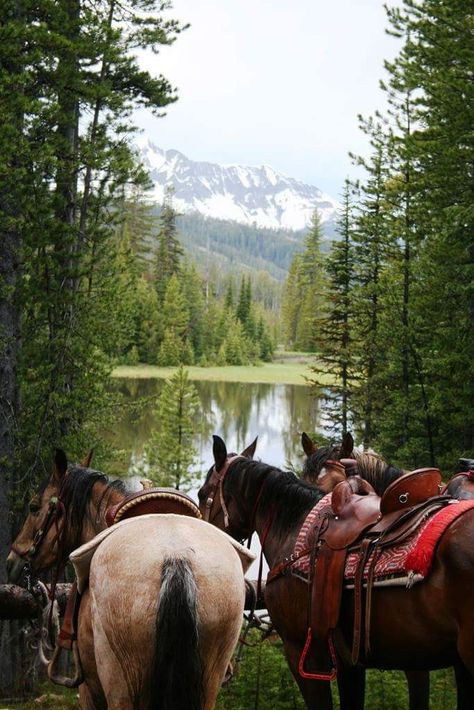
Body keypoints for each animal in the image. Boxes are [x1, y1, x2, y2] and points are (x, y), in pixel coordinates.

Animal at [7, 454, 254, 708]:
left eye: (33, 507)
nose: (12, 563)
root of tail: (176, 557)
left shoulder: (88, 691)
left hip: (120, 685)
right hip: (209, 683)